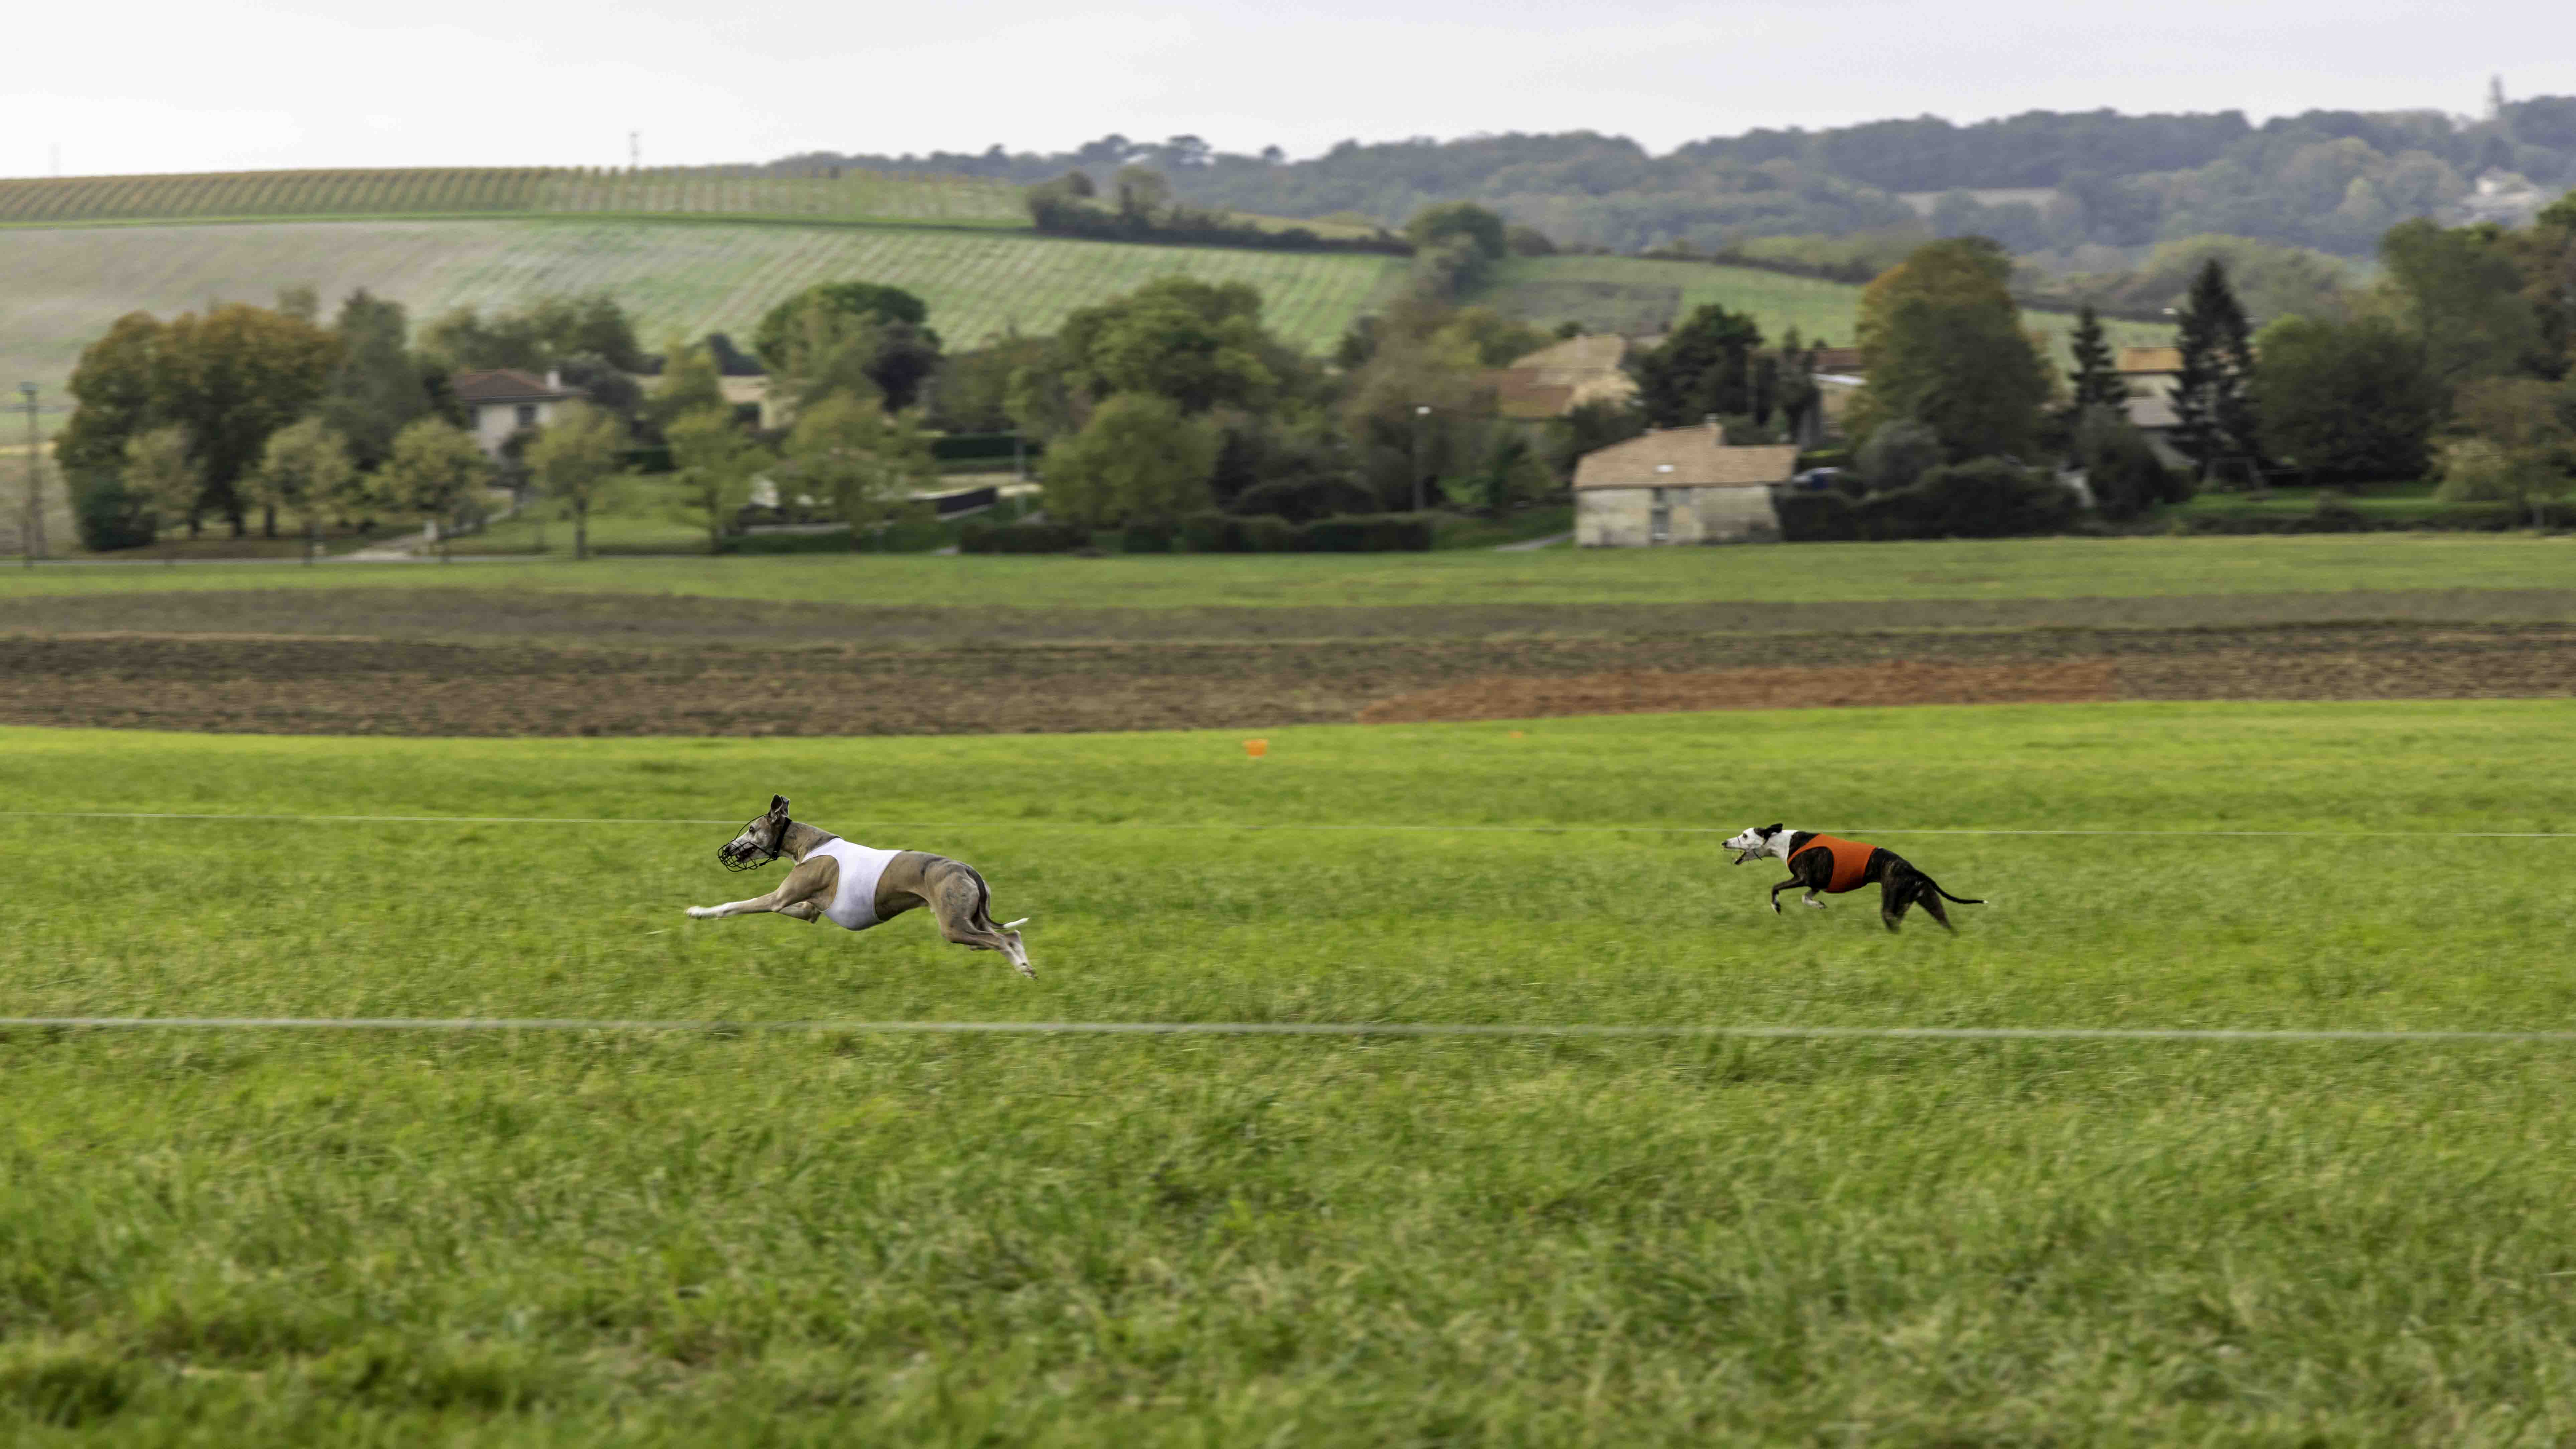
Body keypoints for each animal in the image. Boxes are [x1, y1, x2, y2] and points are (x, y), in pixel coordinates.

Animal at [695, 794, 1046, 974]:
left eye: (752, 830)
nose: (727, 850)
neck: (808, 843)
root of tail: (966, 868)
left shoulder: (779, 897)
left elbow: (735, 907)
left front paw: (699, 911)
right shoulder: (806, 909)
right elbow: (800, 911)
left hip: (953, 926)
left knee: (999, 940)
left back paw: (1020, 967)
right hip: (970, 919)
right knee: (1009, 935)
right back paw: (1025, 965)